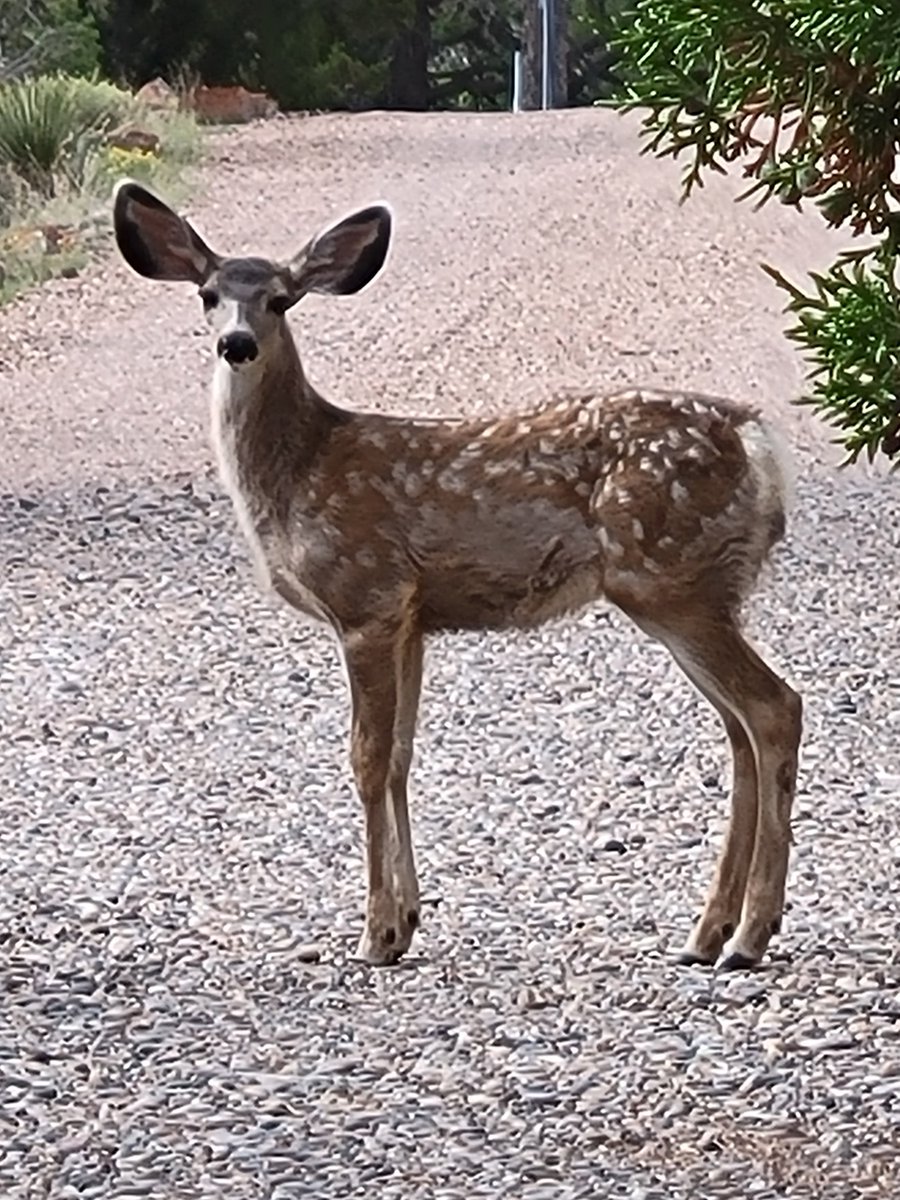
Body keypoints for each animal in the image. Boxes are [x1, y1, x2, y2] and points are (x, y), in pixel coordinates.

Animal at [112, 180, 802, 971]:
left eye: (281, 300)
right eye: (208, 294)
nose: (236, 343)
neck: (298, 473)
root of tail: (756, 440)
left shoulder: (367, 597)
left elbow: (366, 758)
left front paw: (374, 933)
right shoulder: (413, 618)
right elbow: (402, 757)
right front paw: (408, 921)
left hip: (669, 579)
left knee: (774, 708)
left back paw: (750, 935)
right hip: (697, 592)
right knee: (739, 726)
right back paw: (708, 931)